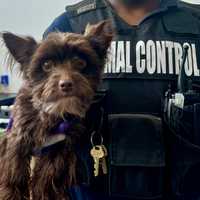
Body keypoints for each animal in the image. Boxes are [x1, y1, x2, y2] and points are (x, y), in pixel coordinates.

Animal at [0, 20, 113, 200]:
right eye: (46, 65)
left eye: (80, 62)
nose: (66, 84)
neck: (52, 113)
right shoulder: (17, 137)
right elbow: (13, 171)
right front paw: (10, 194)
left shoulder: (59, 146)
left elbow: (47, 175)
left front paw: (44, 193)